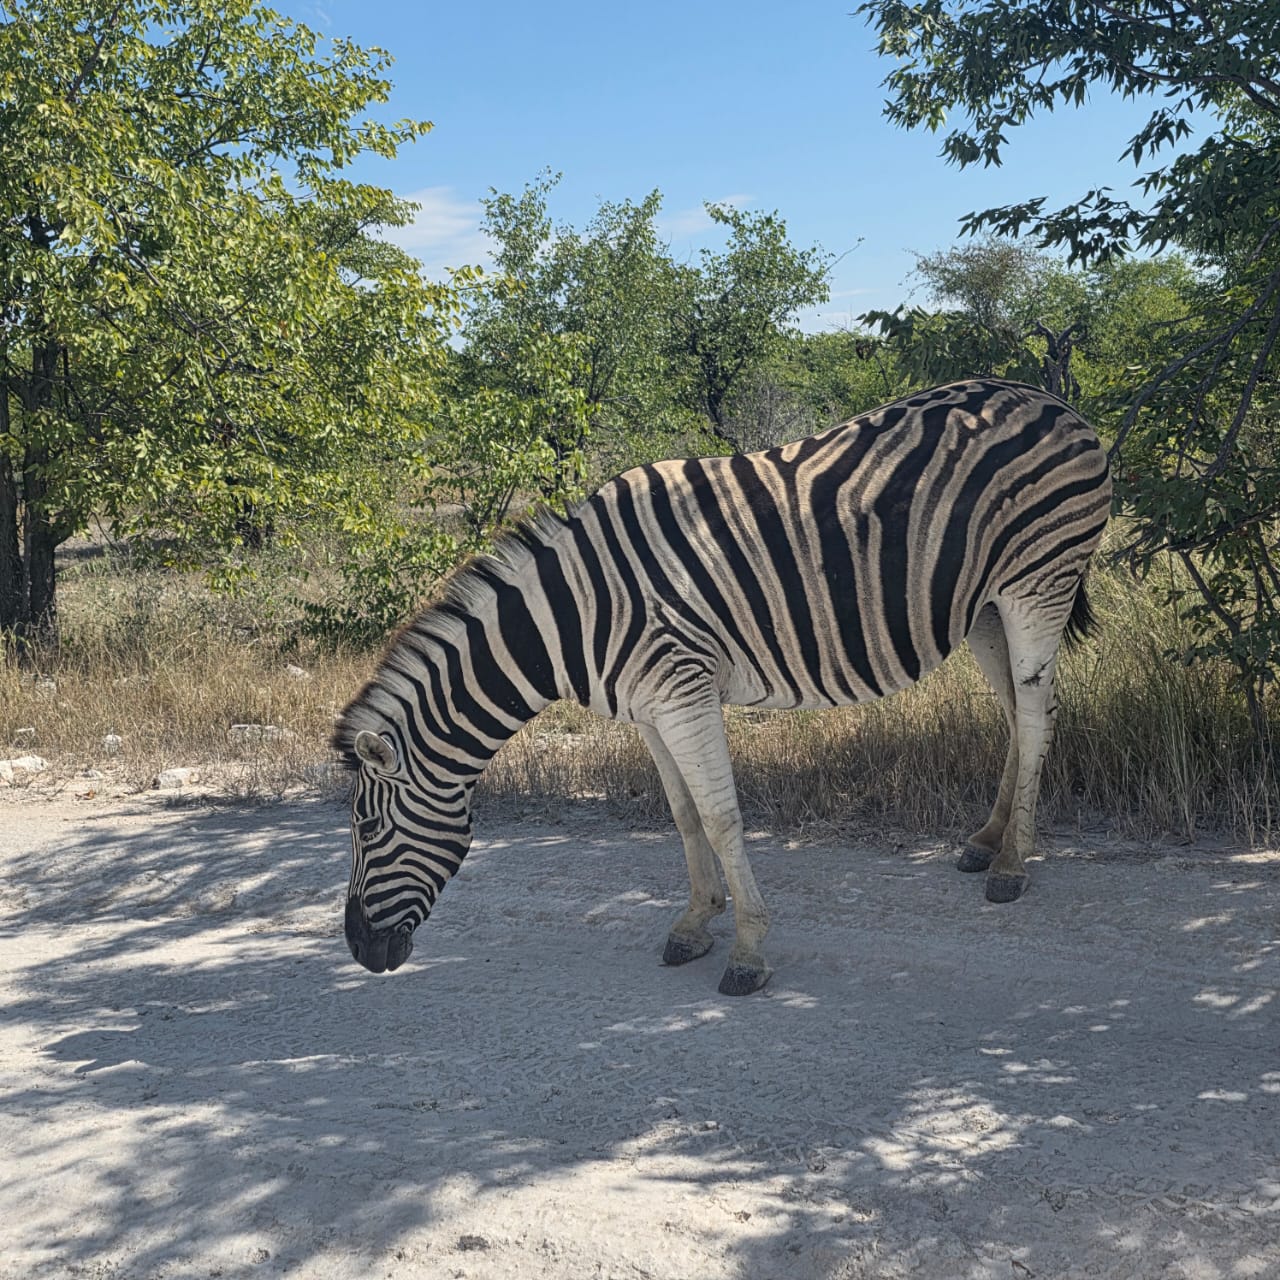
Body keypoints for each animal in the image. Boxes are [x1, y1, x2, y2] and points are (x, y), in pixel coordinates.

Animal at [334, 378, 1112, 996]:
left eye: (366, 828)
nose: (360, 952)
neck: (570, 616)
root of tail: (1048, 397)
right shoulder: (647, 708)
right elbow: (682, 815)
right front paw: (694, 922)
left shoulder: (684, 689)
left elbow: (720, 817)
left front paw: (748, 951)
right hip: (982, 607)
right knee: (1020, 712)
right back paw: (988, 839)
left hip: (1038, 581)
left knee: (1036, 713)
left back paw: (1012, 865)